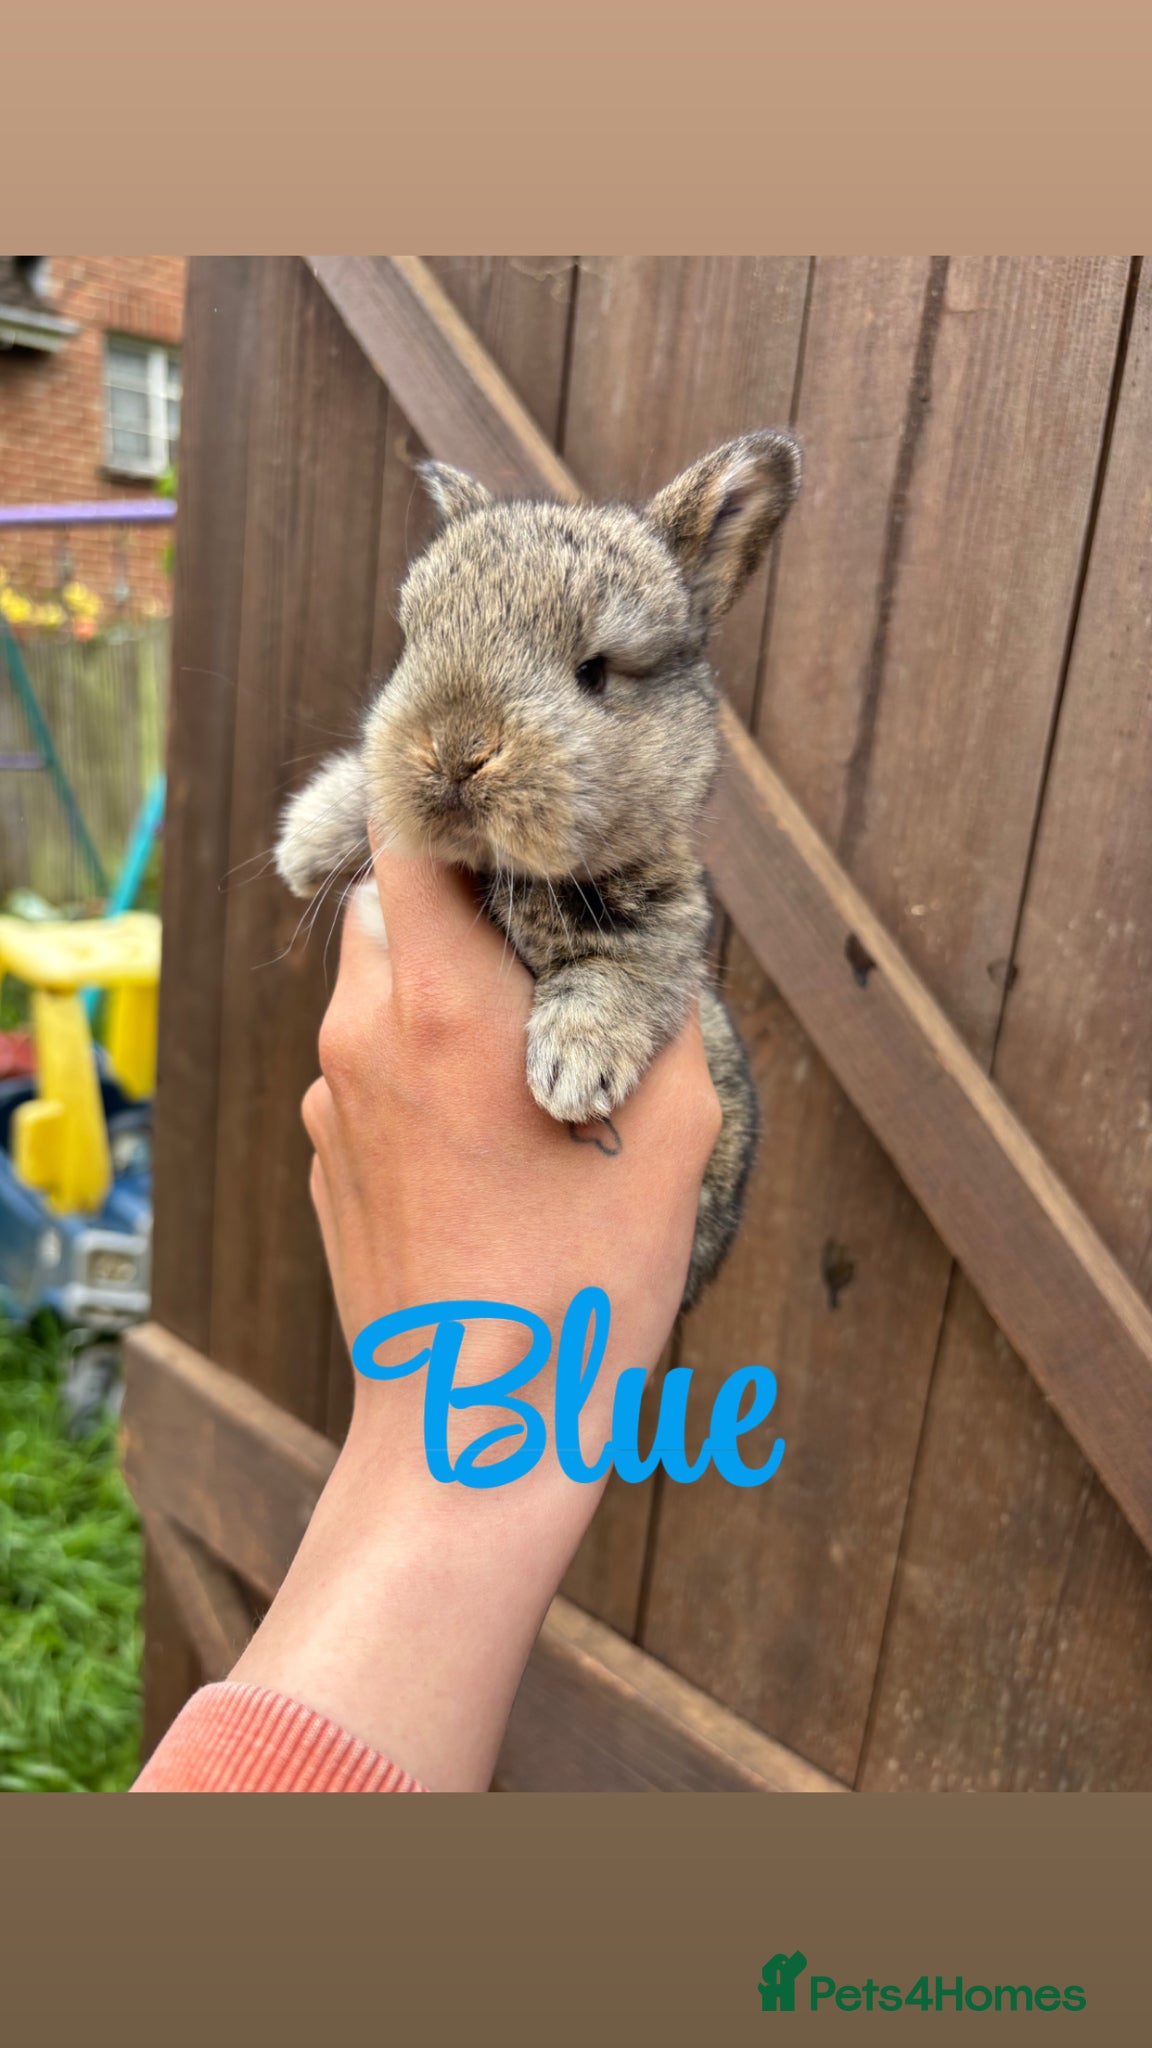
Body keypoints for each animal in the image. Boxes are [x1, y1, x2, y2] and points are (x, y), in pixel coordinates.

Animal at [276, 430, 803, 1308]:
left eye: (594, 672)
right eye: (414, 642)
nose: (456, 750)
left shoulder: (664, 922)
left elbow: (623, 970)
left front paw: (572, 1073)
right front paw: (305, 841)